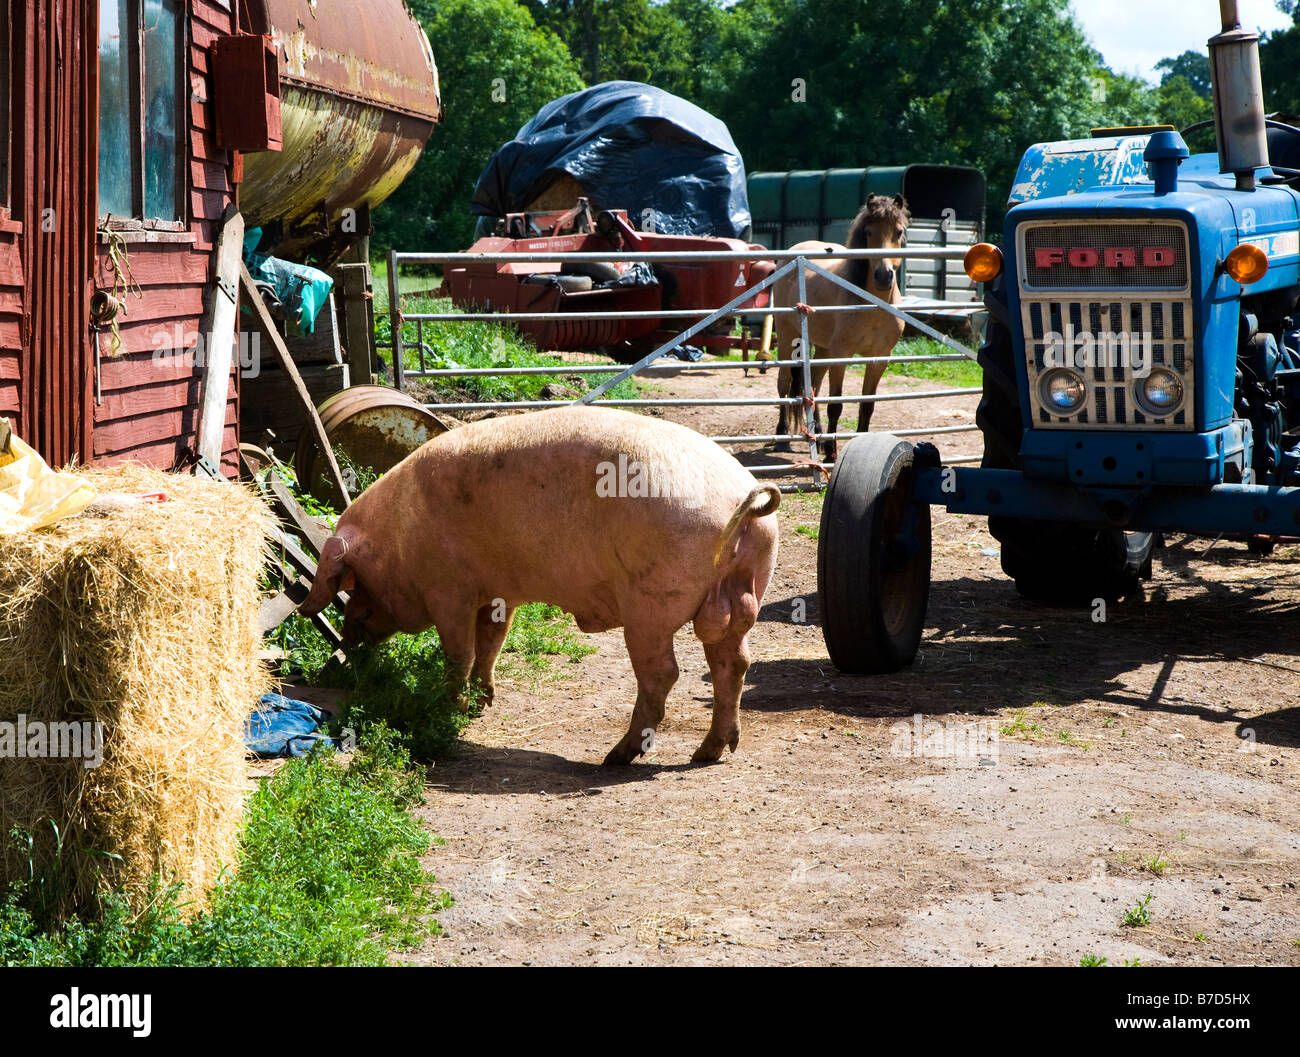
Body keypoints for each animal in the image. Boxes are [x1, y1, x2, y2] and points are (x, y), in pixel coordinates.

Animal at [769, 196, 915, 460]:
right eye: (868, 232)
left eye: (899, 232)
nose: (883, 276)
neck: (872, 306)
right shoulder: (841, 356)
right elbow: (836, 405)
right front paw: (831, 453)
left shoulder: (879, 358)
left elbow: (867, 405)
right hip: (788, 337)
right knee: (784, 384)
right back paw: (782, 437)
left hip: (823, 348)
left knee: (813, 387)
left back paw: (816, 435)